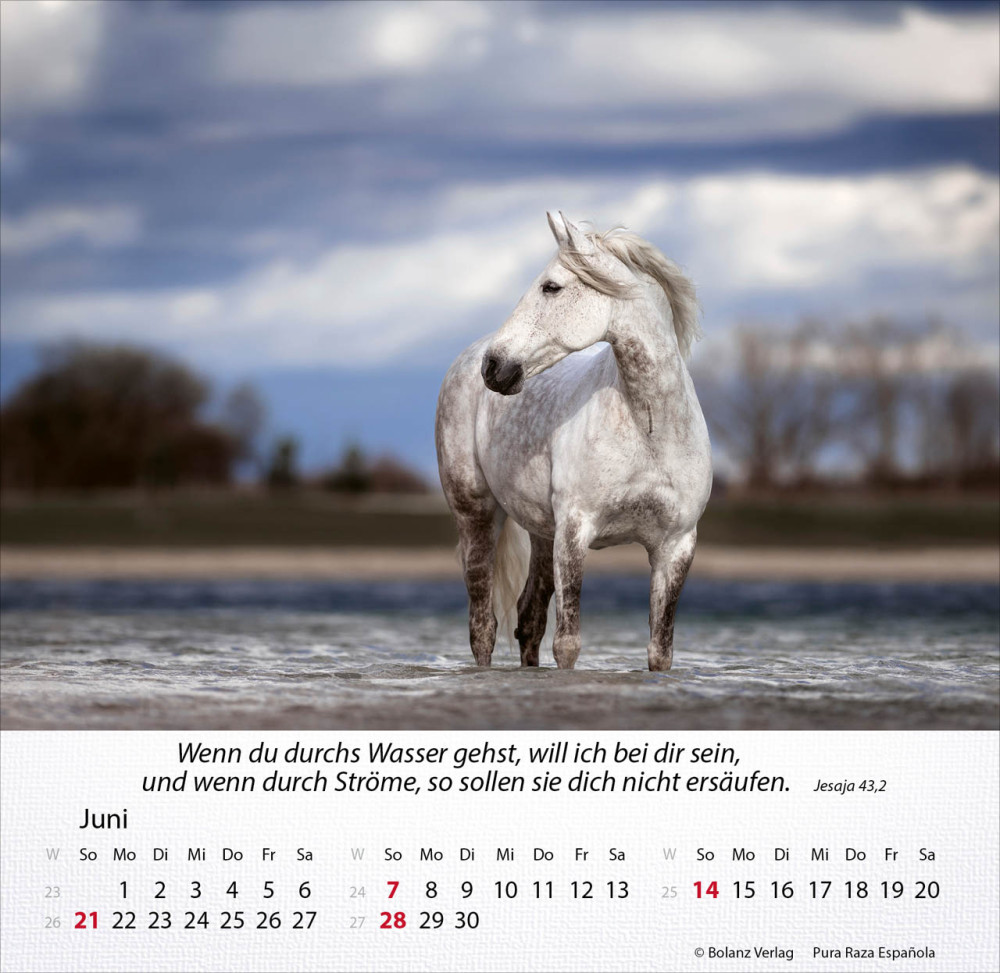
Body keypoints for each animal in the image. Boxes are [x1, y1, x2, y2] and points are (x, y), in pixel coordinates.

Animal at [435, 212, 712, 671]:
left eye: (552, 286)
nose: (494, 367)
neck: (649, 430)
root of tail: (465, 359)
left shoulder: (675, 546)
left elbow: (660, 650)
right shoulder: (575, 531)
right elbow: (568, 643)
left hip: (541, 533)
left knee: (528, 619)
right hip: (477, 516)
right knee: (483, 627)